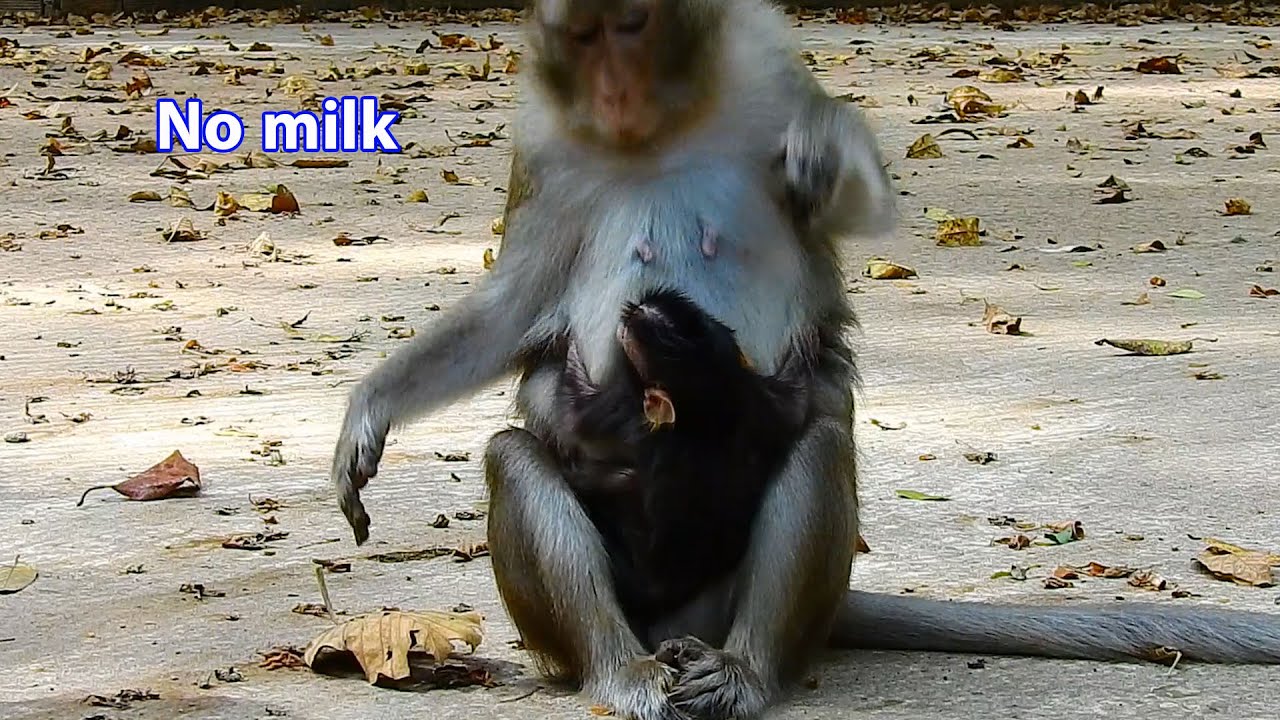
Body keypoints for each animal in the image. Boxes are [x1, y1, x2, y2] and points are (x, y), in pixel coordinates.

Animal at [551, 287, 816, 635]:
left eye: (636, 342)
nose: (635, 310)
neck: (709, 414)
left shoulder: (626, 411)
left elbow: (575, 416)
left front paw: (566, 346)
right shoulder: (760, 399)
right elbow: (798, 400)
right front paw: (805, 343)